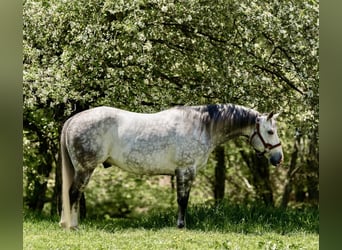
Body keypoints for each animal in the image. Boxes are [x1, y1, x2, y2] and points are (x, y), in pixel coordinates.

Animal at [58, 103, 284, 229]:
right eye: (270, 131)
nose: (278, 158)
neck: (202, 126)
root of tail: (73, 120)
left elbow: (182, 200)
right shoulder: (186, 170)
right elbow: (183, 200)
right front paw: (181, 225)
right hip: (85, 169)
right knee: (73, 194)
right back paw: (73, 226)